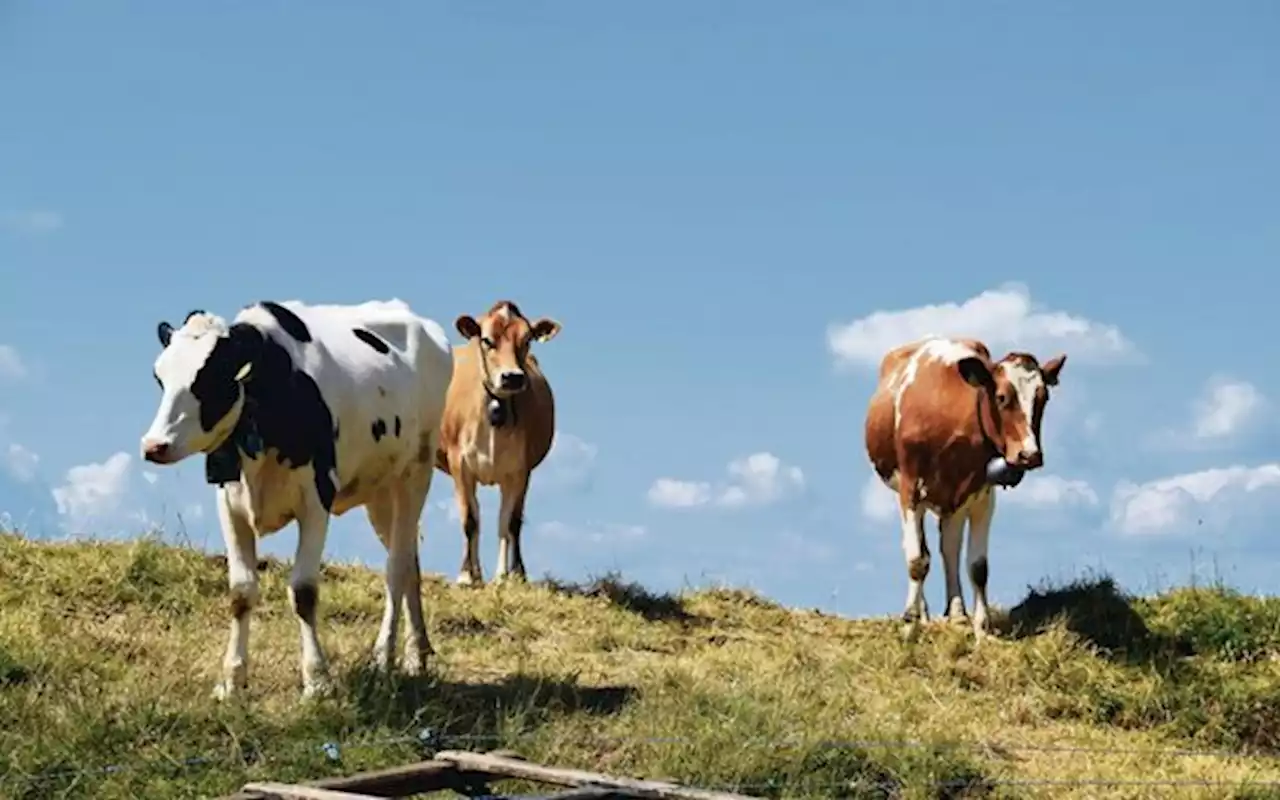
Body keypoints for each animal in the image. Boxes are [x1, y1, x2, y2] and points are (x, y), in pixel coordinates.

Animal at [140, 299, 455, 696]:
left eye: (211, 377)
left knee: (396, 568)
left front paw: (317, 679)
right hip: (381, 490)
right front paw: (232, 679)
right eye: (159, 377)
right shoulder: (230, 504)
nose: (153, 445)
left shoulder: (316, 500)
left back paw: (385, 655)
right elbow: (240, 592)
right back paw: (417, 655)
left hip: (415, 473)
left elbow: (303, 592)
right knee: (410, 562)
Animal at [432, 299, 558, 586]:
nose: (512, 377)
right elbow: (470, 519)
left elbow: (510, 523)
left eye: (527, 339)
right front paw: (466, 575)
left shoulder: (519, 470)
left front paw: (512, 574)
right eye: (488, 340)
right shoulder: (460, 465)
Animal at [865, 337, 1064, 642]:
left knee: (949, 548)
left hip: (954, 503)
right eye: (1002, 397)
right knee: (919, 549)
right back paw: (923, 612)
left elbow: (977, 567)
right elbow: (916, 559)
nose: (1029, 455)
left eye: (1043, 398)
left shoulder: (981, 496)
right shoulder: (910, 490)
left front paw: (982, 629)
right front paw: (910, 624)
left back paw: (957, 613)